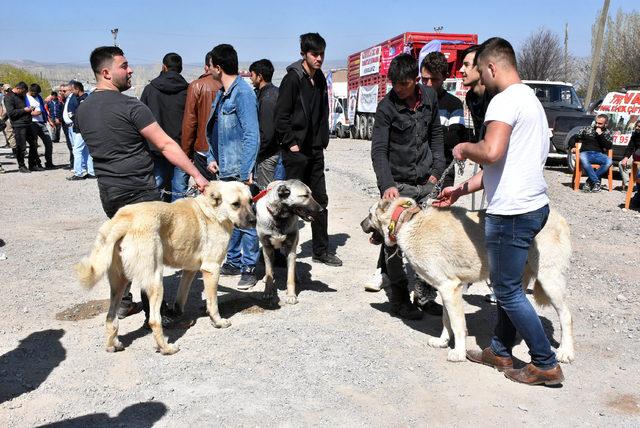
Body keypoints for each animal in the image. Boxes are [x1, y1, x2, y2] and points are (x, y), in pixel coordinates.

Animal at [79, 181, 258, 354]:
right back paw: (166, 348)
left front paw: (176, 312)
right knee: (153, 320)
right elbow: (213, 303)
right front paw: (218, 321)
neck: (212, 211)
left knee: (110, 317)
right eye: (235, 204)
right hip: (155, 281)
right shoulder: (211, 269)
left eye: (250, 201)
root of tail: (125, 218)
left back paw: (113, 345)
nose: (253, 221)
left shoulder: (189, 270)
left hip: (119, 283)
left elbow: (181, 297)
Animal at [360, 196, 576, 362]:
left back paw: (565, 352)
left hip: (549, 281)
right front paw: (443, 342)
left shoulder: (450, 288)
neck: (407, 221)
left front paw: (458, 353)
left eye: (369, 214)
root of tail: (560, 218)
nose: (361, 225)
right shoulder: (447, 289)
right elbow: (447, 320)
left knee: (566, 315)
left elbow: (457, 324)